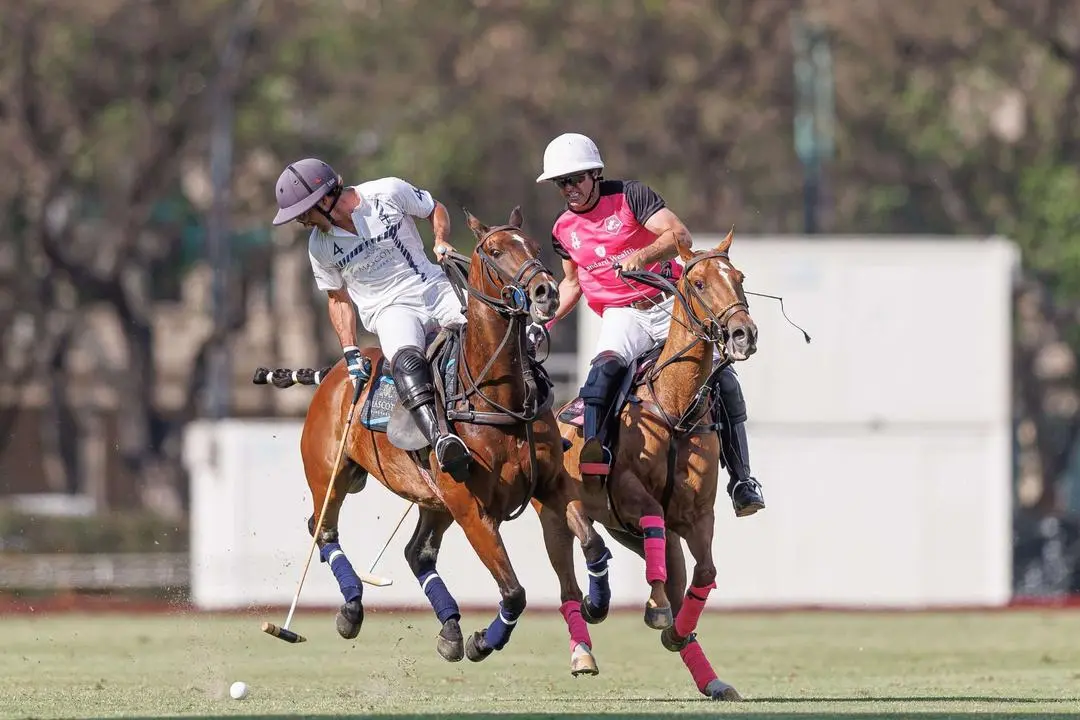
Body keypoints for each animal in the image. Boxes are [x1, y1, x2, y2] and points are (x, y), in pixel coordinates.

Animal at [250, 208, 609, 677]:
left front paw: (596, 604)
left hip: (433, 499)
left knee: (416, 552)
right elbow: (514, 592)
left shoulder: (549, 487)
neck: (498, 395)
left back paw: (450, 629)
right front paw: (482, 641)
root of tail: (334, 372)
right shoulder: (474, 510)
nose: (545, 292)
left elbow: (593, 542)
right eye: (495, 251)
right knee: (323, 529)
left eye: (533, 244)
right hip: (332, 473)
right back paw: (352, 609)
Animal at [544, 227, 756, 699]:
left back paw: (710, 677)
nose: (743, 334)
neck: (675, 408)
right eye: (698, 283)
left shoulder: (697, 514)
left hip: (627, 530)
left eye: (739, 278)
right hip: (555, 519)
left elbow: (705, 572)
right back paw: (583, 649)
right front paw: (656, 609)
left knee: (664, 564)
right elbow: (653, 519)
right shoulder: (630, 492)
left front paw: (675, 630)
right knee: (570, 578)